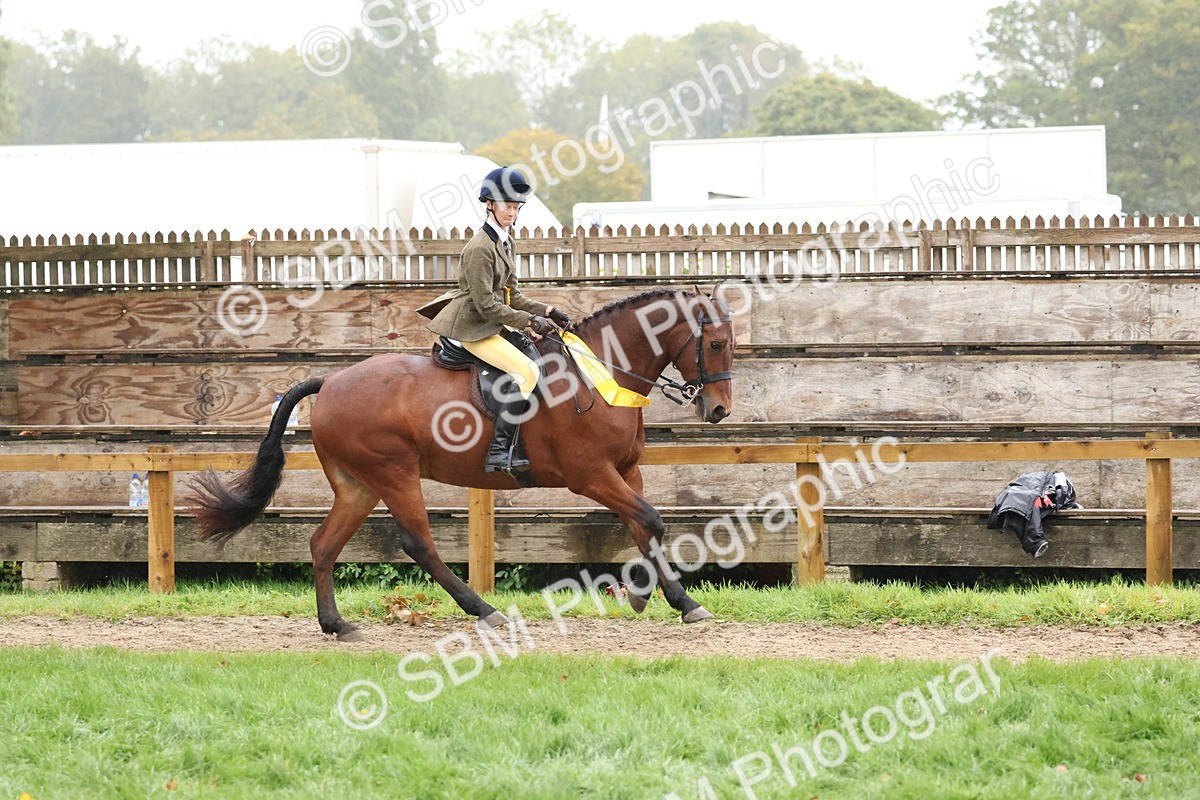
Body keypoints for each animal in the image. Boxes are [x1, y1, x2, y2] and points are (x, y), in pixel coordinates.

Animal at [187, 287, 736, 640]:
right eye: (714, 343)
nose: (718, 411)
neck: (599, 372)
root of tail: (332, 382)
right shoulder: (591, 476)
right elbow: (650, 519)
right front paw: (665, 599)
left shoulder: (626, 472)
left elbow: (644, 527)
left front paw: (666, 598)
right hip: (395, 474)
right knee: (418, 543)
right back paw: (484, 611)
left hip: (358, 485)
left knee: (323, 544)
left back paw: (336, 625)